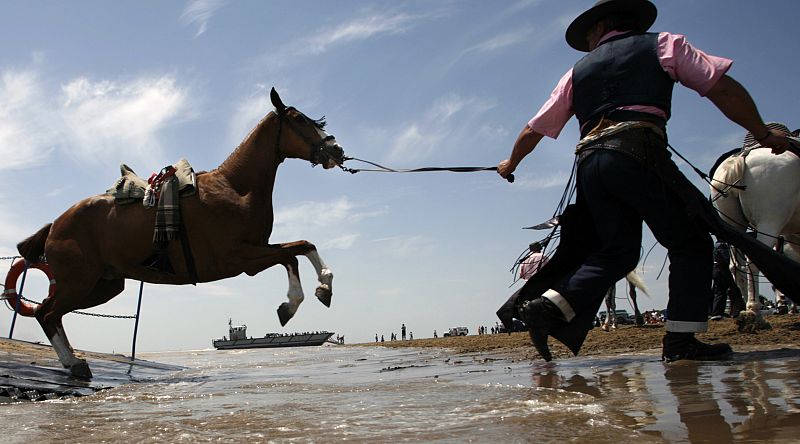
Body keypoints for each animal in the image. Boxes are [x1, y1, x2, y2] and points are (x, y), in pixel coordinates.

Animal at [14, 88, 345, 379]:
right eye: (299, 119)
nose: (336, 149)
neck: (235, 188)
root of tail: (56, 224)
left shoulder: (255, 251)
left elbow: (300, 248)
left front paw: (319, 289)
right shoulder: (241, 258)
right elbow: (294, 252)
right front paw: (297, 301)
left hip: (103, 286)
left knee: (48, 313)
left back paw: (74, 363)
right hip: (79, 282)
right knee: (47, 314)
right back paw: (73, 363)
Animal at [711, 141, 800, 330]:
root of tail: (741, 157)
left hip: (735, 227)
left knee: (736, 267)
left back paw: (747, 309)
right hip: (770, 220)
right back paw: (755, 313)